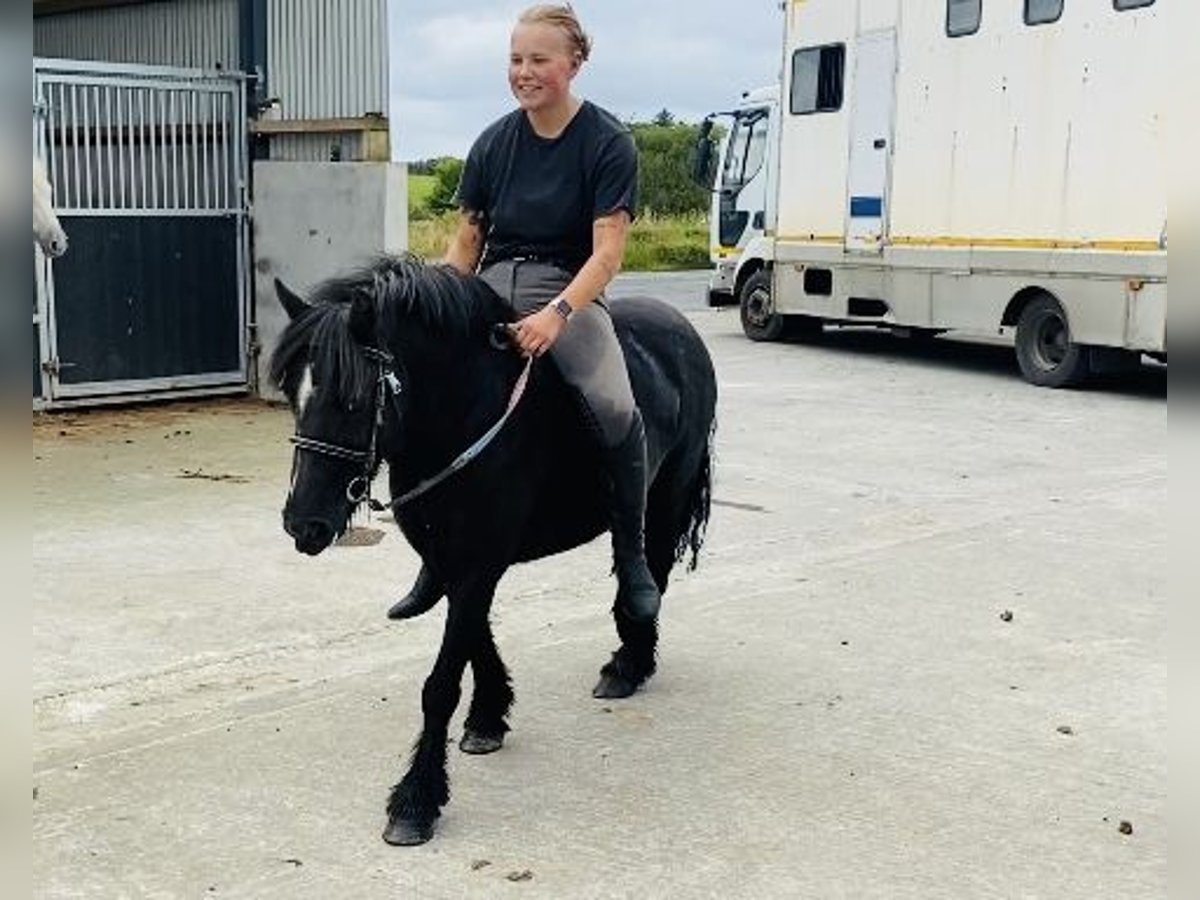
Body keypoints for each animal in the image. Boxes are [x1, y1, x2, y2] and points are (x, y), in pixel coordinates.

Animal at [271, 256, 715, 849]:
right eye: (290, 395)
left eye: (353, 400)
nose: (304, 525)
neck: (465, 415)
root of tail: (680, 326)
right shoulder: (452, 561)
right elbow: (475, 637)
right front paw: (488, 717)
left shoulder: (479, 563)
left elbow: (440, 684)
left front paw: (416, 800)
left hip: (667, 494)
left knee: (650, 570)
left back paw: (630, 662)